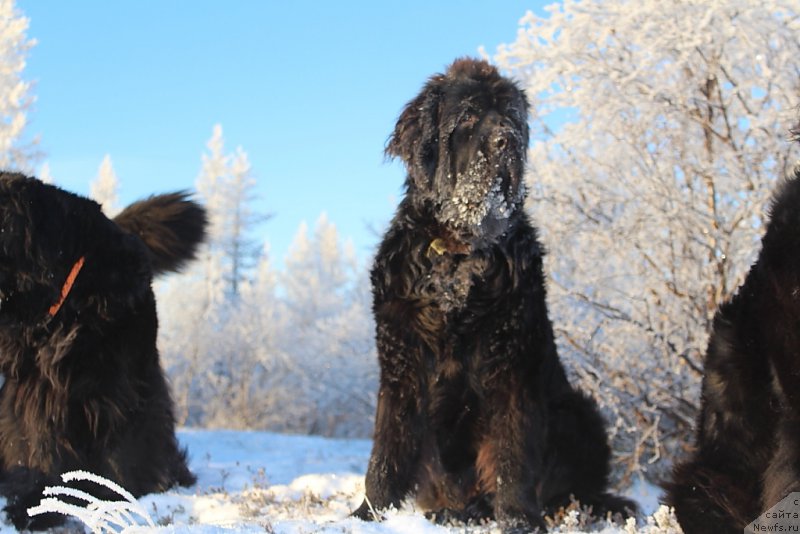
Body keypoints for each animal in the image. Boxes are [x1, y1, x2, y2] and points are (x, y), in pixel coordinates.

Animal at [0, 176, 205, 532]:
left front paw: (118, 496)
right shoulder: (34, 388)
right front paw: (38, 504)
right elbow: (37, 443)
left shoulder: (122, 386)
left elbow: (125, 449)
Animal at [354, 59, 636, 532]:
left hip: (579, 411)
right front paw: (369, 513)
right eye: (467, 116)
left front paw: (519, 519)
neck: (457, 252)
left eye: (511, 115)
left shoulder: (511, 362)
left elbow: (511, 451)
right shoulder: (401, 361)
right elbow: (387, 449)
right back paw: (453, 511)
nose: (509, 141)